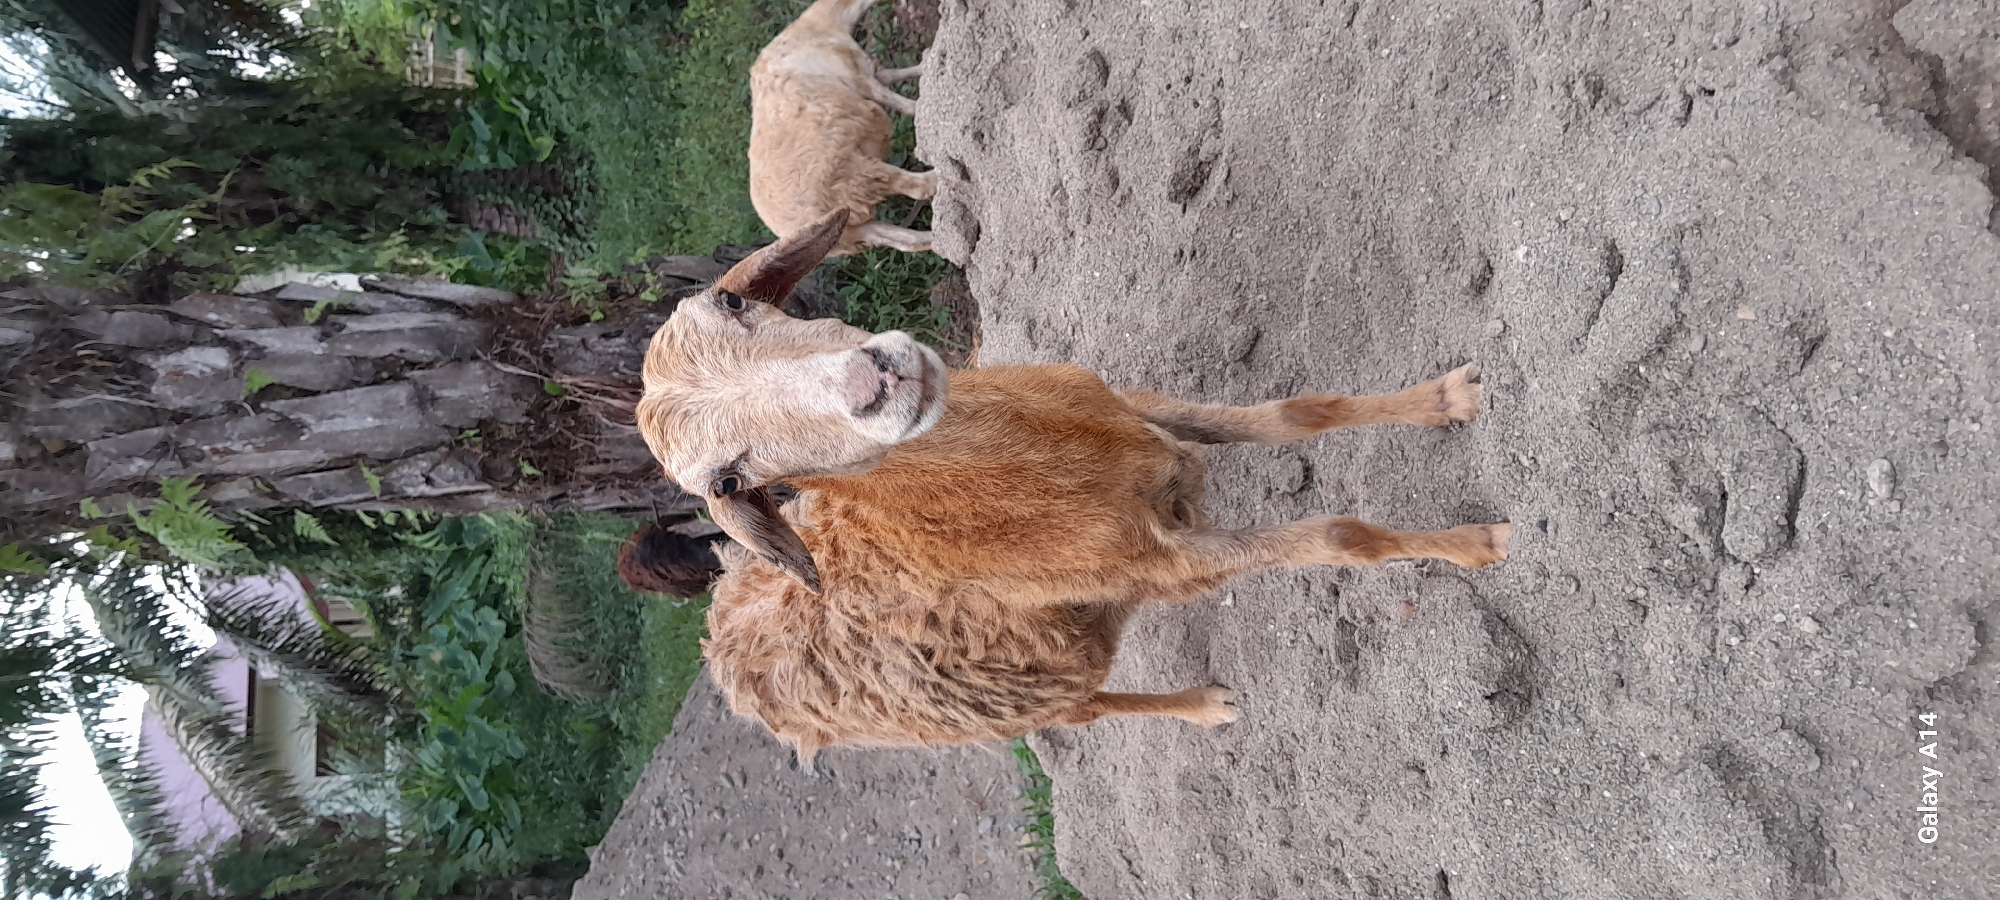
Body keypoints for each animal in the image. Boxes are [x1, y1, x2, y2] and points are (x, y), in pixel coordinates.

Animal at [632, 210, 1510, 765]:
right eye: (730, 478)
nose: (872, 380)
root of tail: (719, 634)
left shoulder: (1142, 416)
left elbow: (1298, 413)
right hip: (1024, 699)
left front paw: (1445, 401)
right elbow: (1339, 536)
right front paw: (1477, 543)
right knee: (1087, 711)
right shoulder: (1166, 564)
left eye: (734, 300)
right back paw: (1204, 705)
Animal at [748, 0, 937, 257]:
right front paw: (919, 107)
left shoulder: (867, 70)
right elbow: (895, 99)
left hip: (851, 227)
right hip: (850, 174)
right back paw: (941, 178)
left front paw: (926, 62)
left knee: (905, 241)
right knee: (915, 187)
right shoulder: (858, 77)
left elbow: (895, 75)